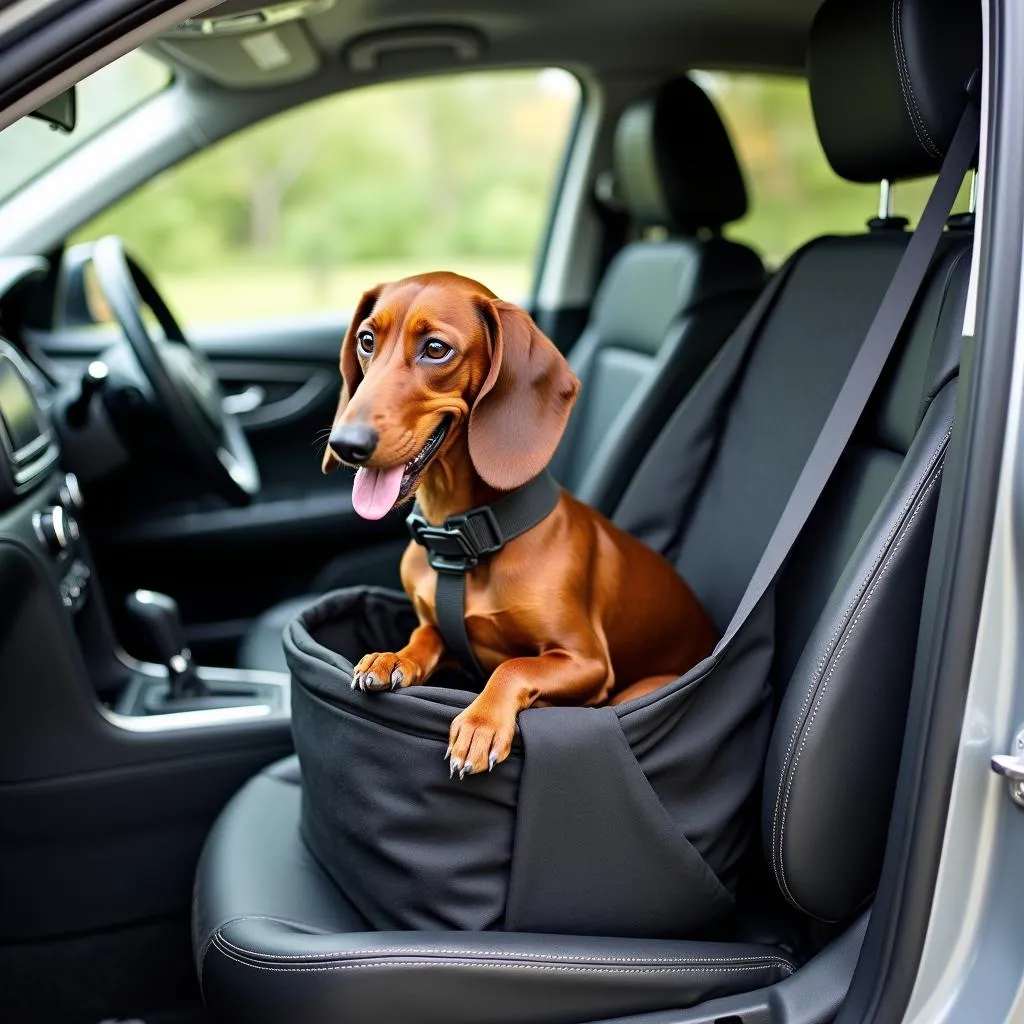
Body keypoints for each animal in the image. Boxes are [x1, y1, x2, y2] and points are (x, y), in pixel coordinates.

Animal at [323, 272, 716, 774]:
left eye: (436, 349)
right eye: (367, 341)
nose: (344, 444)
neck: (467, 543)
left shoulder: (586, 660)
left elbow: (514, 665)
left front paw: (481, 723)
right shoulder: (443, 628)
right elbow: (425, 633)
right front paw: (392, 657)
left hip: (643, 685)